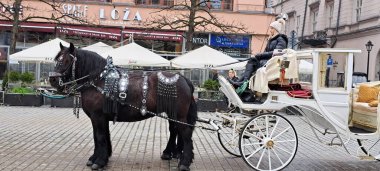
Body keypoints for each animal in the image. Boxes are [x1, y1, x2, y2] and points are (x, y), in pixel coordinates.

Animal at [49, 42, 197, 170]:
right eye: (57, 60)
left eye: (65, 61)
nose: (53, 80)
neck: (99, 79)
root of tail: (183, 79)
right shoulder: (100, 118)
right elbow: (99, 136)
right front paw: (98, 158)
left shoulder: (98, 117)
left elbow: (100, 137)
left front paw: (99, 161)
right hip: (171, 113)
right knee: (174, 130)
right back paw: (170, 153)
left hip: (178, 115)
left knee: (185, 134)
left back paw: (184, 162)